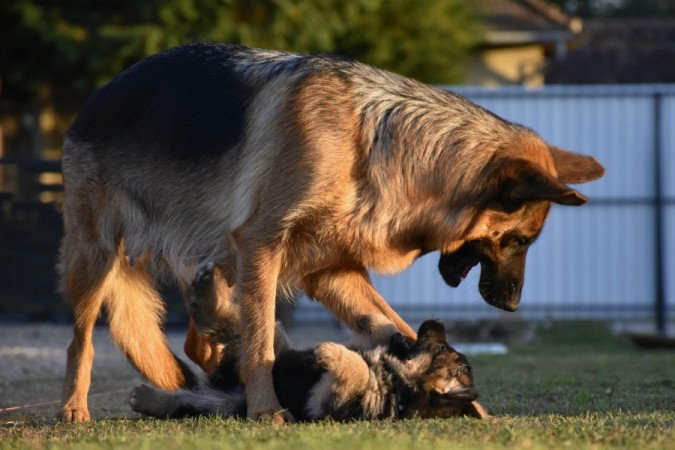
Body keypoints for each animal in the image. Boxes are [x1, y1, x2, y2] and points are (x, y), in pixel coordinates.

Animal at [128, 264, 486, 418]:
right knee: (245, 327)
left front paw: (330, 351)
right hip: (267, 354)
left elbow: (355, 370)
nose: (436, 321)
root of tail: (232, 393)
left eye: (438, 348)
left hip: (226, 402)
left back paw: (147, 398)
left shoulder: (328, 402)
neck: (394, 380)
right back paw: (206, 293)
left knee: (188, 401)